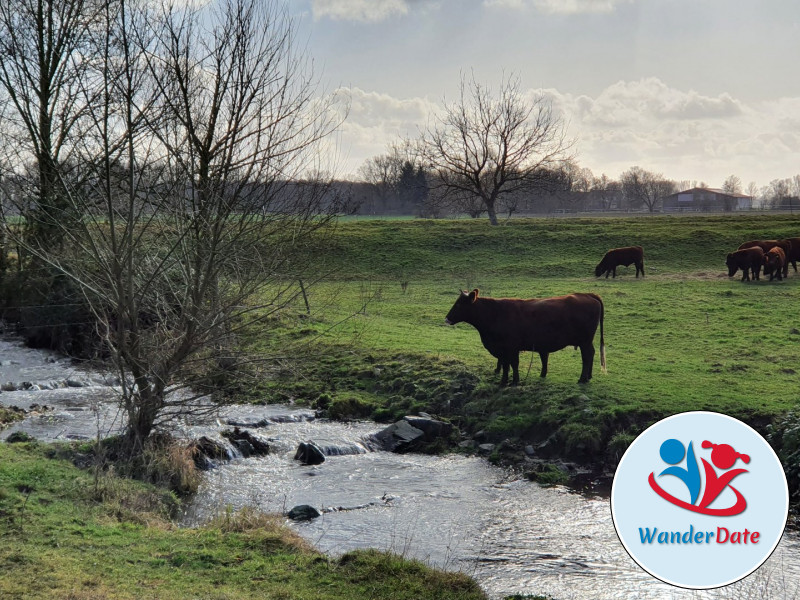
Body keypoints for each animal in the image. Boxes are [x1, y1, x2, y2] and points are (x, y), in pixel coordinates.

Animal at [444, 290, 608, 384]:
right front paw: (504, 381)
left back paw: (582, 379)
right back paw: (589, 376)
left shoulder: (510, 347)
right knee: (592, 354)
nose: (447, 319)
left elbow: (513, 364)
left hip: (584, 341)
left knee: (587, 356)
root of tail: (587, 295)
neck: (495, 314)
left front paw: (513, 381)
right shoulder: (503, 349)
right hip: (587, 341)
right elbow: (506, 365)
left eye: (459, 305)